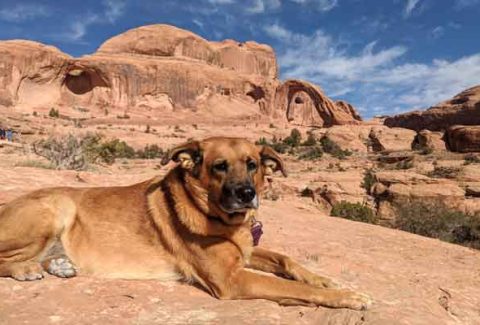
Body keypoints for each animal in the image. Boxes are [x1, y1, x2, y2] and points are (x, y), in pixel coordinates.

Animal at [0, 136, 372, 308]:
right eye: (220, 166)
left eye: (252, 164)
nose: (247, 194)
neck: (219, 217)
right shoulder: (230, 279)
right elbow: (294, 289)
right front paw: (348, 296)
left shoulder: (246, 251)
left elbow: (287, 260)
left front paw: (323, 279)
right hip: (56, 207)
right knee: (6, 258)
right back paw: (27, 269)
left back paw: (58, 265)